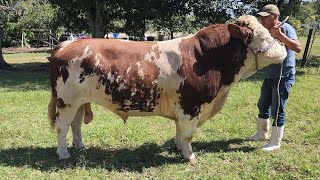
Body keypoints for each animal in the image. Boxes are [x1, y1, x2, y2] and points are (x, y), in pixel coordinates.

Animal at [48, 15, 288, 162]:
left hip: (80, 101)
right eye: (264, 36)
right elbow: (189, 134)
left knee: (76, 124)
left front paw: (179, 148)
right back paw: (63, 154)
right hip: (67, 101)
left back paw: (80, 147)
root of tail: (67, 44)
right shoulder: (191, 106)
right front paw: (189, 156)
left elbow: (180, 131)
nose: (284, 49)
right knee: (62, 127)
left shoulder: (183, 108)